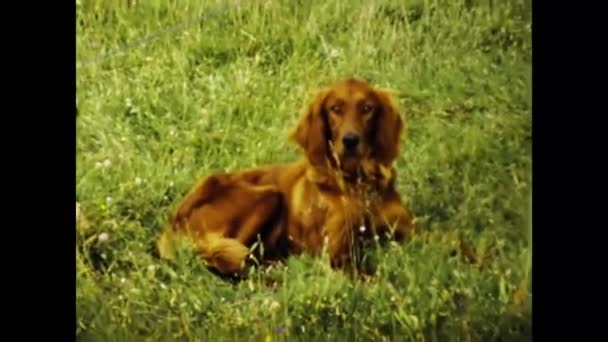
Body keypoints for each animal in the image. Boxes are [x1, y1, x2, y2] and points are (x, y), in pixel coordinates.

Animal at [157, 79, 416, 276]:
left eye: (367, 108)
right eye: (335, 109)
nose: (350, 140)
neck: (359, 184)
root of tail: (177, 216)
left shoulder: (410, 230)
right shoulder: (337, 257)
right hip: (268, 196)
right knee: (235, 263)